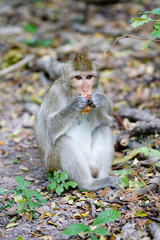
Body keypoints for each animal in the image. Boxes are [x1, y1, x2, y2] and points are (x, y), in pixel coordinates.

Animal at [35, 53, 120, 191]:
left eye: (89, 77)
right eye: (78, 77)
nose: (85, 89)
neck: (70, 94)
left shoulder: (98, 88)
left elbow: (105, 120)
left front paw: (100, 100)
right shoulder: (54, 94)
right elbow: (50, 129)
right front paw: (75, 106)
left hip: (91, 162)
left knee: (104, 128)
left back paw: (103, 177)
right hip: (54, 169)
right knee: (63, 142)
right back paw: (89, 184)